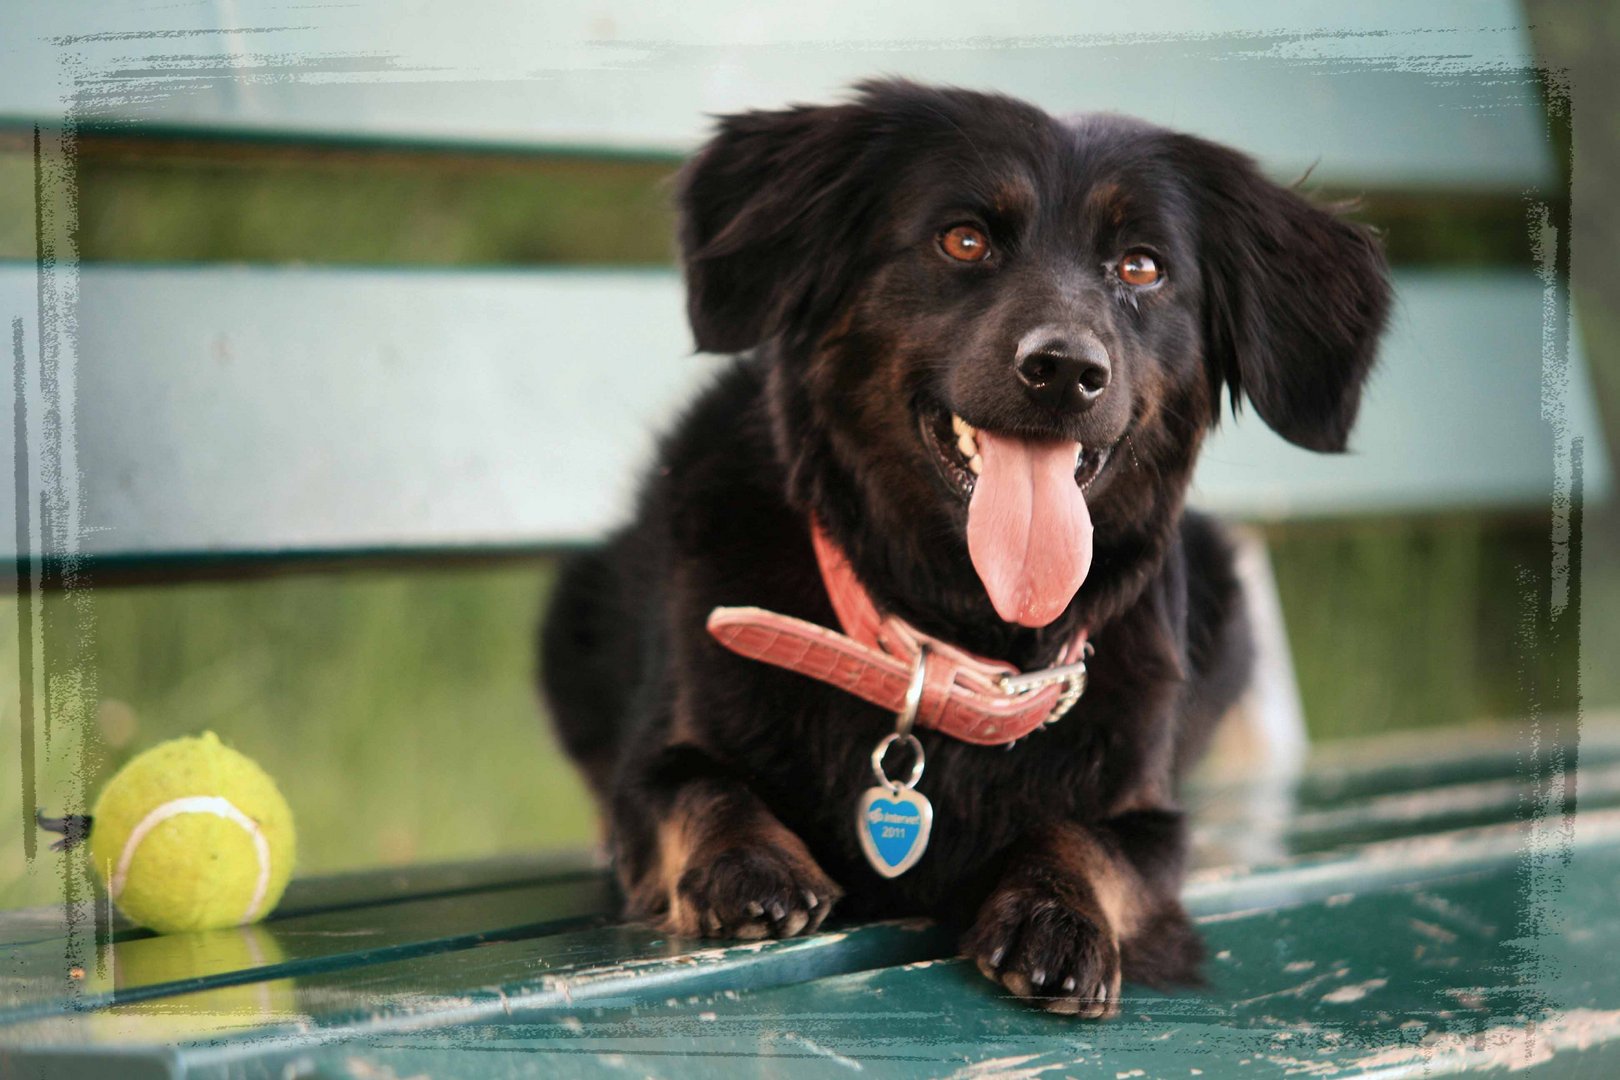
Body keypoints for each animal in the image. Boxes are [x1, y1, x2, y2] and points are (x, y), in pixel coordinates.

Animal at [541, 80, 1380, 1016]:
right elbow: (693, 784)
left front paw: (1056, 913)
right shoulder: (653, 766)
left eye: (1141, 267)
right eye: (964, 240)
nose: (1065, 370)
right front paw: (748, 860)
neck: (952, 642)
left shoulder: (1150, 819)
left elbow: (1087, 838)